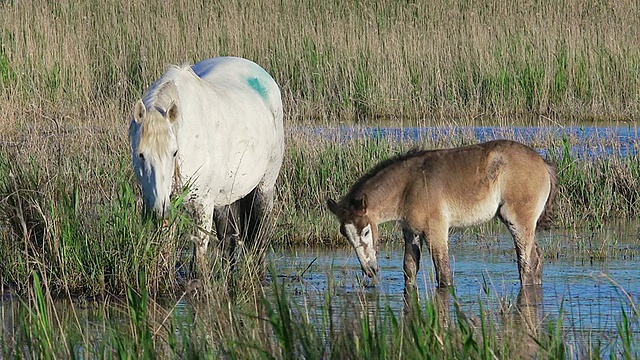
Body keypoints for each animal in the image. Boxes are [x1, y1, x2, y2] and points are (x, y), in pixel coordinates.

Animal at [129, 57, 284, 264]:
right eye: (141, 154)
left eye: (174, 153)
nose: (159, 211)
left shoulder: (202, 205)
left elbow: (199, 258)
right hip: (225, 197)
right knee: (228, 240)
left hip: (264, 188)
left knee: (259, 239)